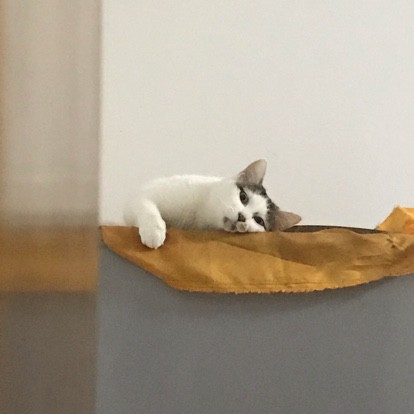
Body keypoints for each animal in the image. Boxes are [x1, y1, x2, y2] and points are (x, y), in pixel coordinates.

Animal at [124, 159, 301, 249]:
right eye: (243, 197)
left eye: (259, 220)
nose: (242, 217)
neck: (200, 217)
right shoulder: (140, 196)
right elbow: (148, 207)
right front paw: (154, 232)